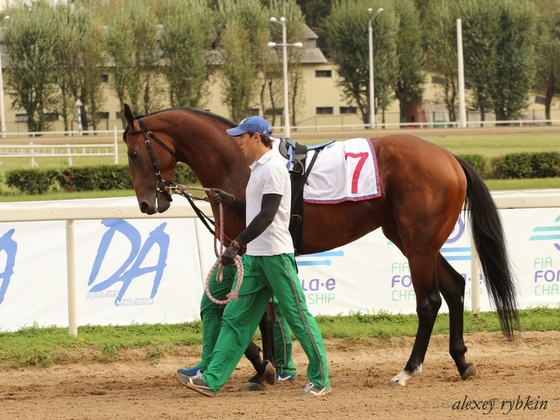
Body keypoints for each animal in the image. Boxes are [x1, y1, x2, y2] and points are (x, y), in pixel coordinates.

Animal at [123, 104, 520, 388]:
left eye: (134, 153)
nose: (147, 203)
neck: (240, 162)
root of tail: (451, 158)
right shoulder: (251, 252)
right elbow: (243, 310)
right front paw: (265, 368)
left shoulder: (248, 249)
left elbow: (253, 313)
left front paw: (264, 369)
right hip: (413, 239)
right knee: (454, 287)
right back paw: (462, 361)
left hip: (418, 243)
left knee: (429, 301)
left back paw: (408, 370)